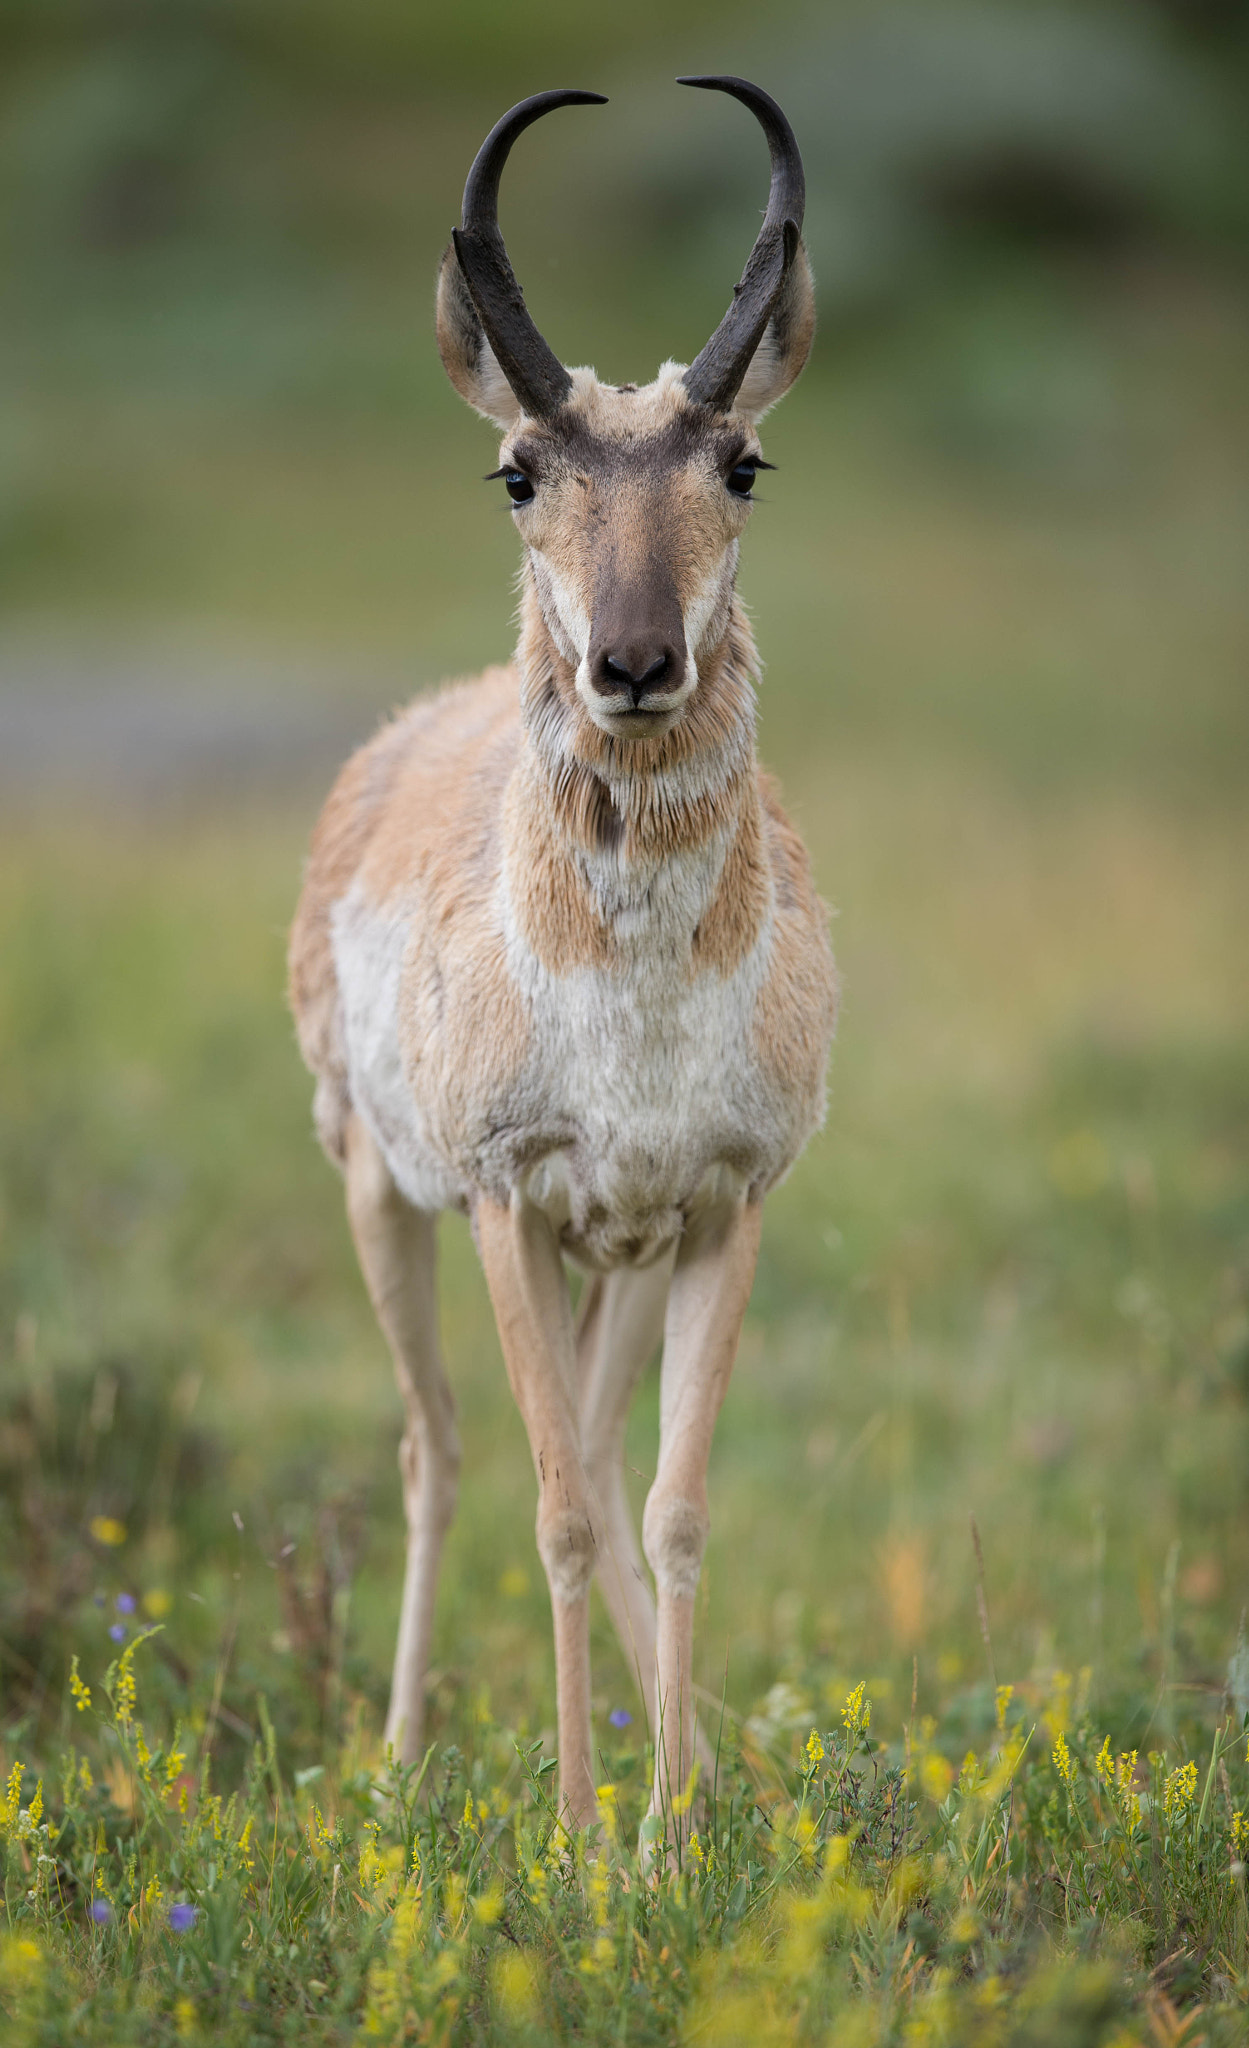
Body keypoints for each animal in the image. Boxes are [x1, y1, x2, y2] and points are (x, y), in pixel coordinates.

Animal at [288, 79, 835, 1843]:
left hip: (625, 1257)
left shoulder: (718, 1208)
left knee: (592, 1454)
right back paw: (397, 1760)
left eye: (743, 460)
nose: (633, 662)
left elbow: (667, 1507)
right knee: (440, 1453)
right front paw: (586, 1837)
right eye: (518, 472)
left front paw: (670, 1833)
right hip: (383, 1199)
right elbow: (557, 1514)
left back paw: (700, 1765)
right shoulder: (505, 1203)